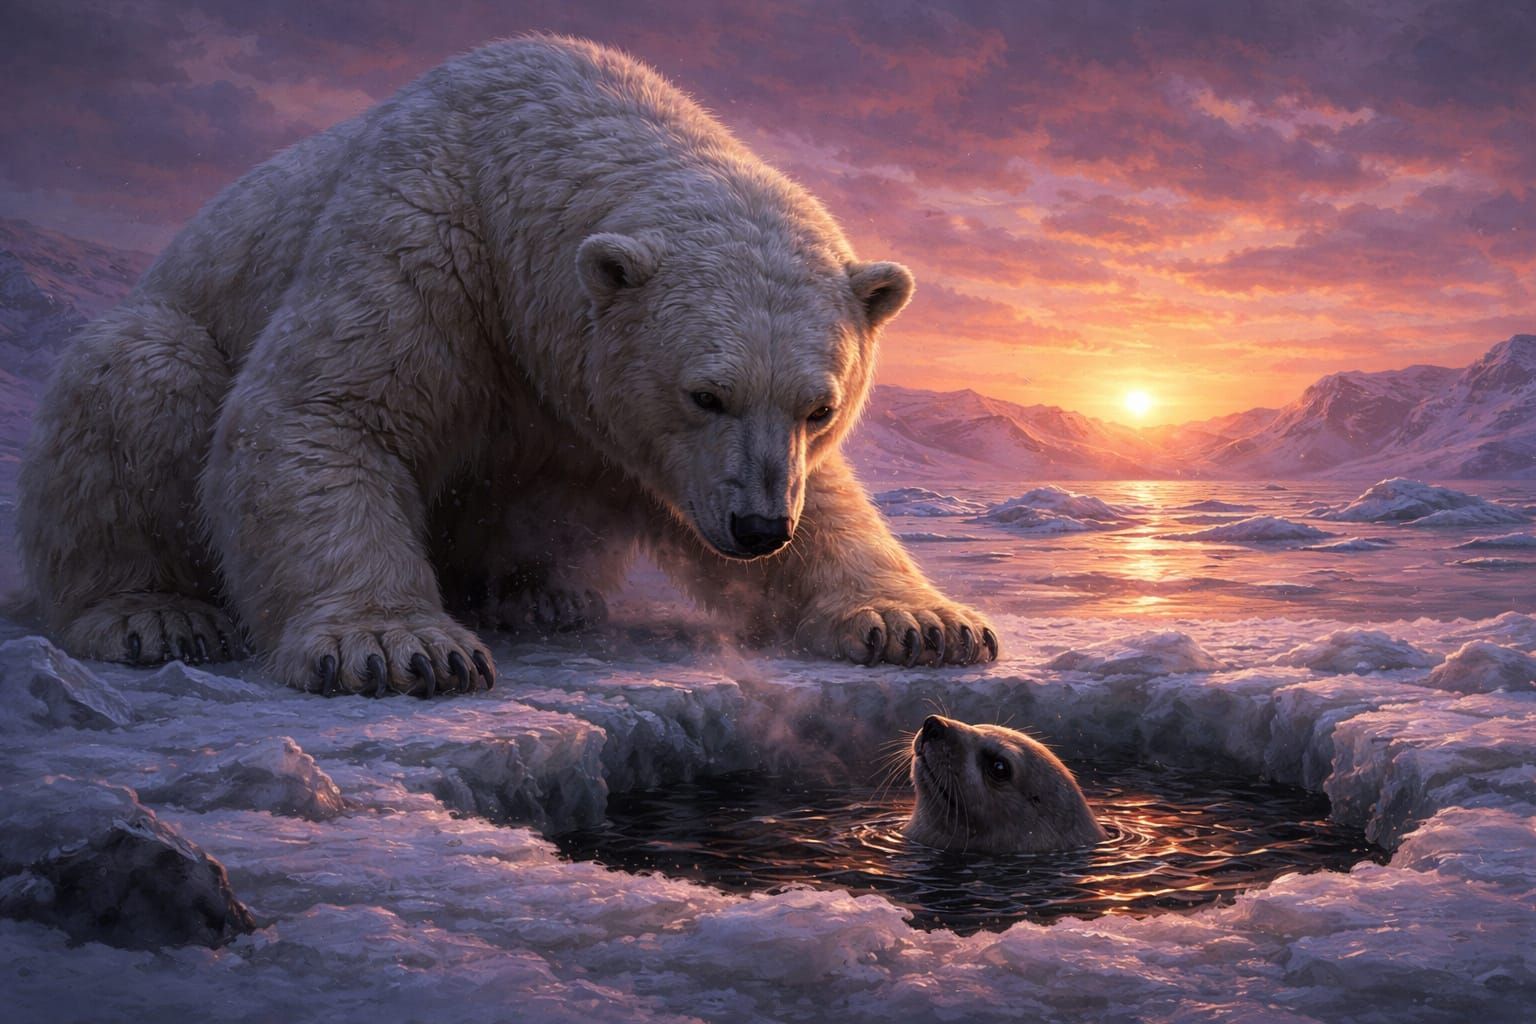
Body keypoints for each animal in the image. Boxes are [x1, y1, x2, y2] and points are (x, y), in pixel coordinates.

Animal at [17, 35, 999, 697]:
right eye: (705, 394)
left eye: (819, 407)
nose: (759, 527)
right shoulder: (423, 229)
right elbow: (324, 410)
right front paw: (400, 648)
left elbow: (829, 502)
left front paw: (920, 623)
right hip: (163, 336)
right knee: (137, 375)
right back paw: (154, 614)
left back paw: (544, 597)